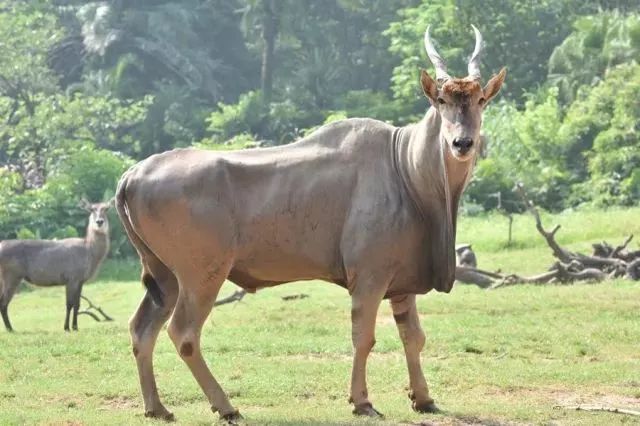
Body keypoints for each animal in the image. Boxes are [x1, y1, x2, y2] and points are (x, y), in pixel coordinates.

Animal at [0, 198, 113, 332]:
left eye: (106, 209)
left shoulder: (80, 280)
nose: (99, 222)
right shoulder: (71, 278)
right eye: (91, 209)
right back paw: (10, 329)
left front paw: (75, 327)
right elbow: (69, 304)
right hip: (12, 276)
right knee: (3, 302)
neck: (89, 251)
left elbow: (77, 304)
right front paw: (66, 327)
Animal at [115, 25, 504, 422]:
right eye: (441, 100)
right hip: (201, 276)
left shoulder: (401, 283)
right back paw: (226, 407)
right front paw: (362, 402)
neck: (405, 166)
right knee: (184, 333)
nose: (462, 142)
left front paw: (423, 398)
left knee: (141, 329)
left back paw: (157, 407)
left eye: (480, 100)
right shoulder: (369, 278)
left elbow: (413, 336)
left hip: (165, 277)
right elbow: (364, 338)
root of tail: (131, 175)